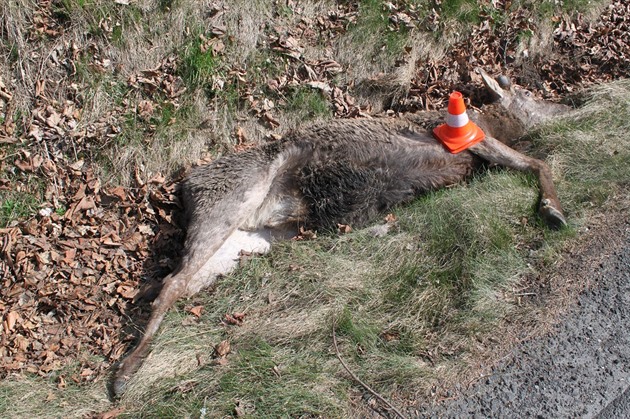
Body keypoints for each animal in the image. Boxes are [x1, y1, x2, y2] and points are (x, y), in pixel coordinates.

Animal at [112, 69, 572, 398]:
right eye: (528, 95)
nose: (567, 101)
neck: (492, 123)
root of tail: (184, 186)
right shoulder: (470, 140)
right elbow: (538, 162)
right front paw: (554, 210)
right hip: (229, 202)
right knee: (172, 283)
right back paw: (125, 374)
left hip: (244, 244)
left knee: (168, 283)